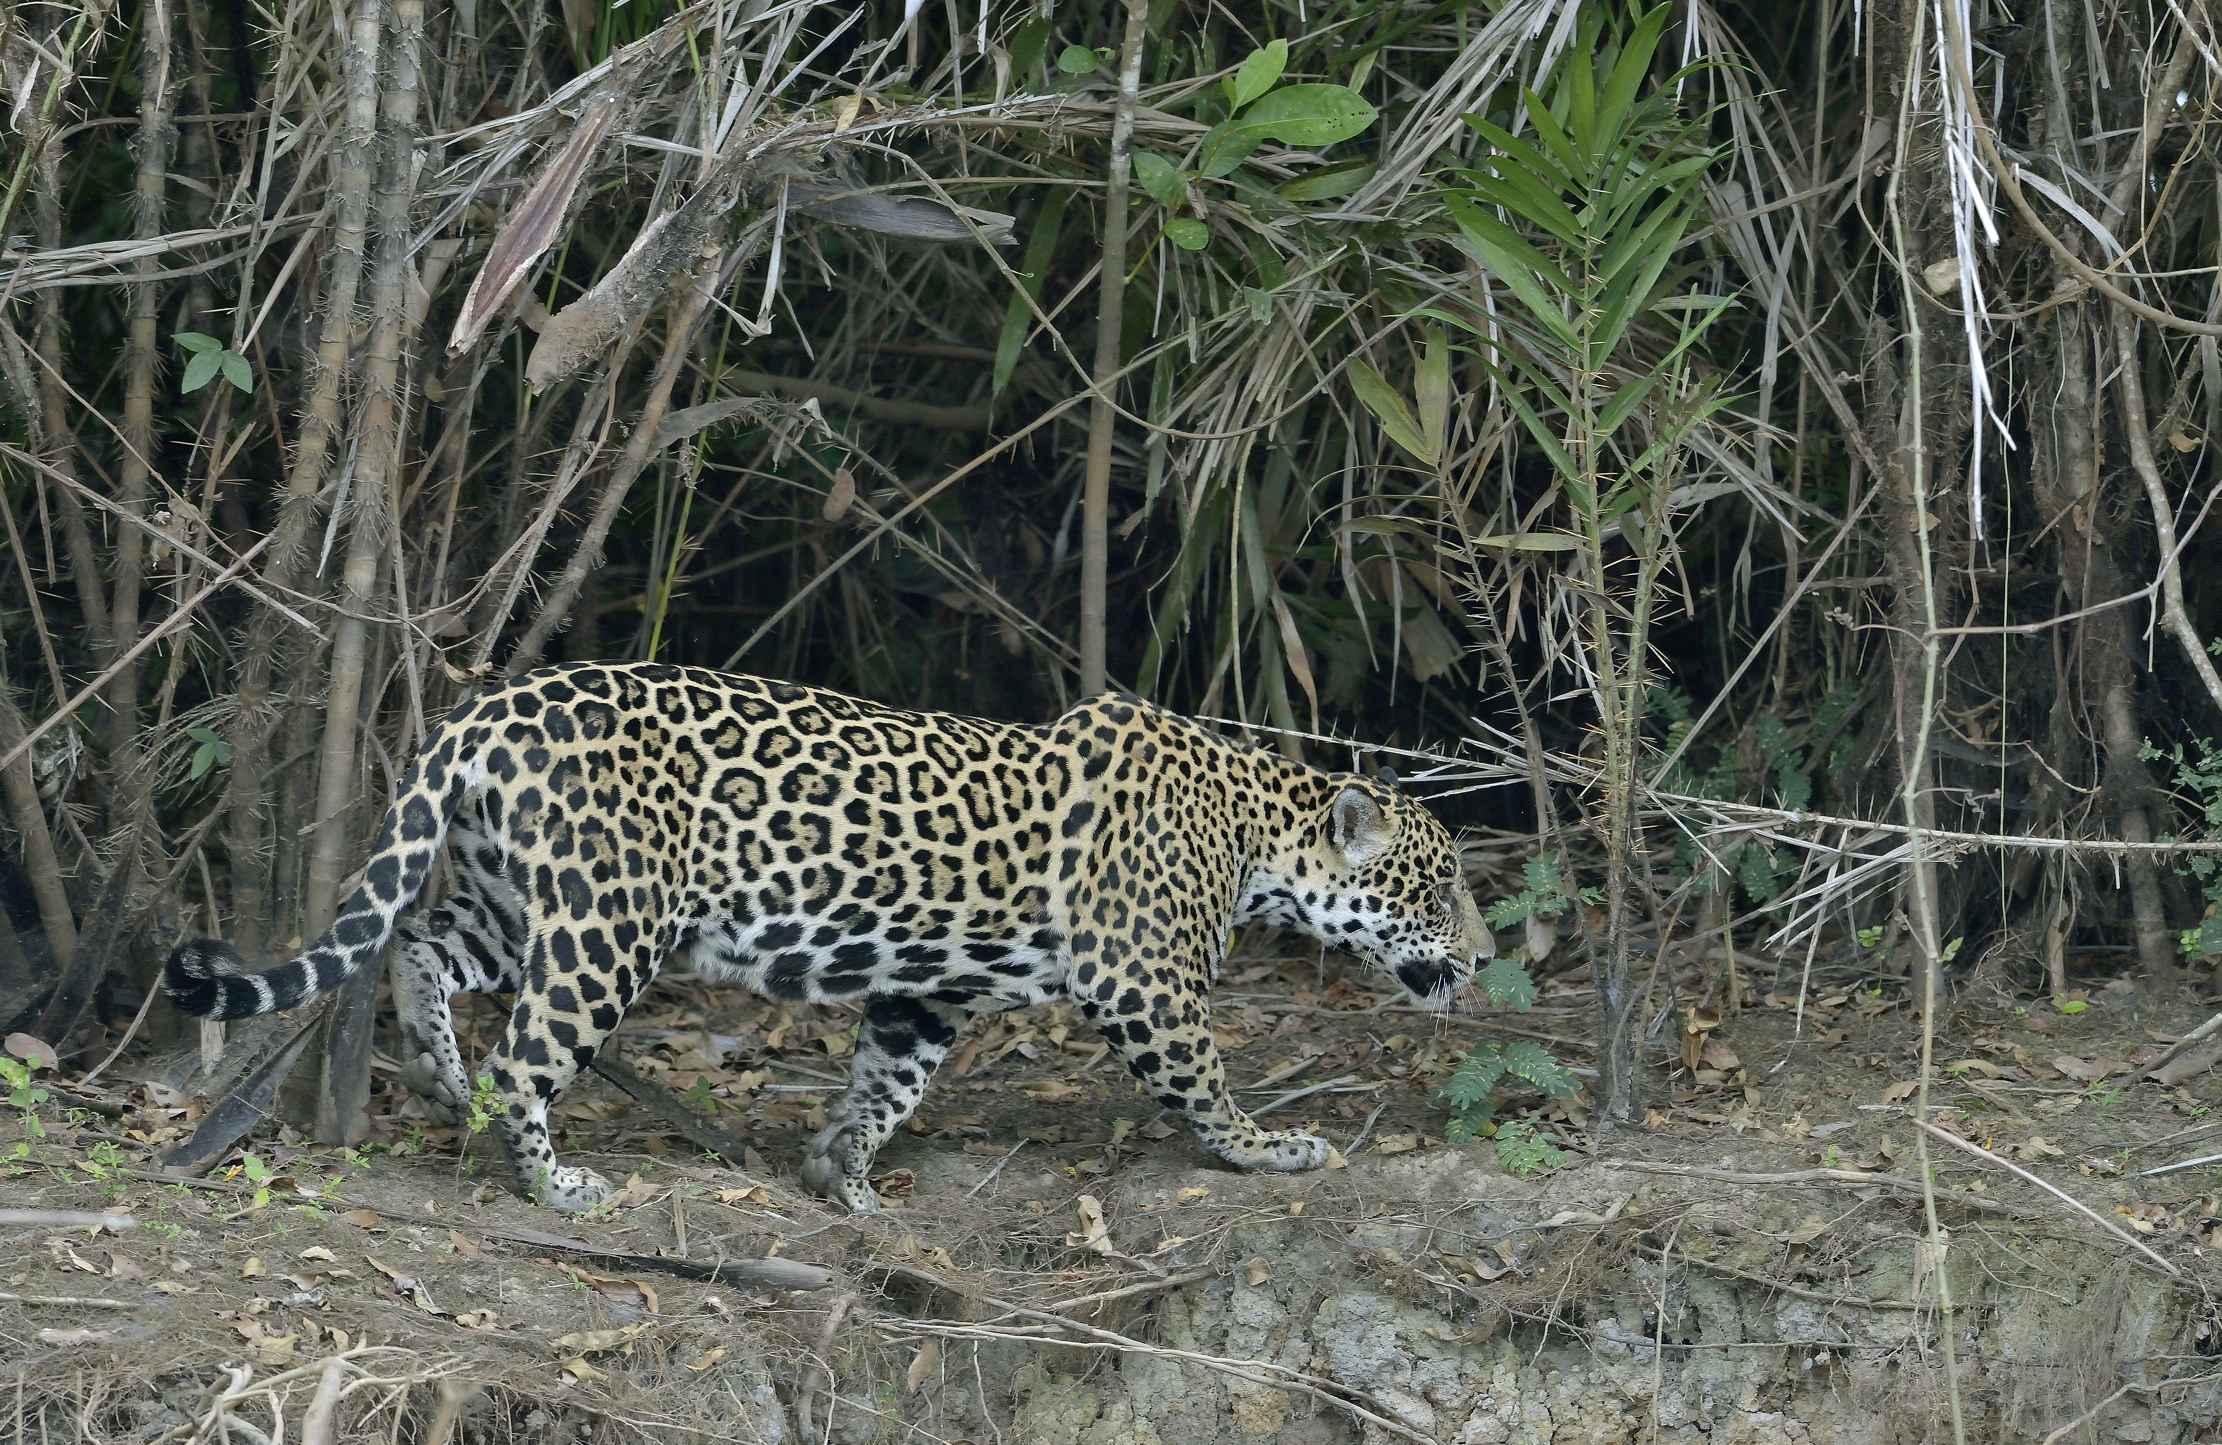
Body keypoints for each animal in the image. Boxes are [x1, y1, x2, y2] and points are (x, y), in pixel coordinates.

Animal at [164, 661, 1493, 1214]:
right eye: (1438, 887)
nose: (1482, 958)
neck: (1256, 827)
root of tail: (489, 705)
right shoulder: (1144, 979)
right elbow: (1206, 1082)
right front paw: (1268, 1149)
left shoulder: (926, 989)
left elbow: (888, 1080)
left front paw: (840, 1172)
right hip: (610, 924)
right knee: (524, 1056)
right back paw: (551, 1181)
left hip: (523, 894)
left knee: (423, 945)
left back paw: (434, 1068)